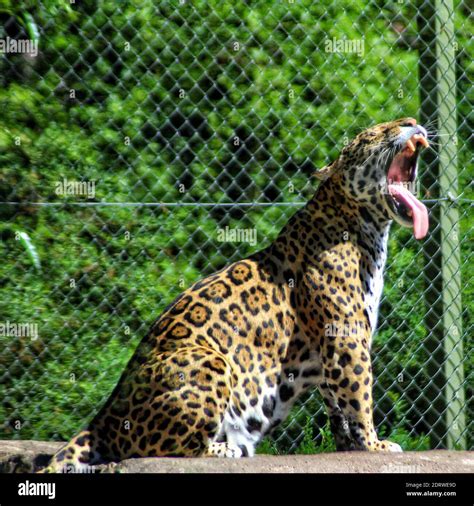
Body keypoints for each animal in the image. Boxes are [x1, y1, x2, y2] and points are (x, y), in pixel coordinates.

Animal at [39, 116, 432, 472]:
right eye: (374, 134)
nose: (412, 121)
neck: (367, 227)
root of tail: (104, 415)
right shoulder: (346, 339)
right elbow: (358, 393)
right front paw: (375, 444)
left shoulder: (333, 346)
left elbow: (337, 401)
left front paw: (350, 445)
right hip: (209, 362)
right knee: (156, 448)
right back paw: (228, 448)